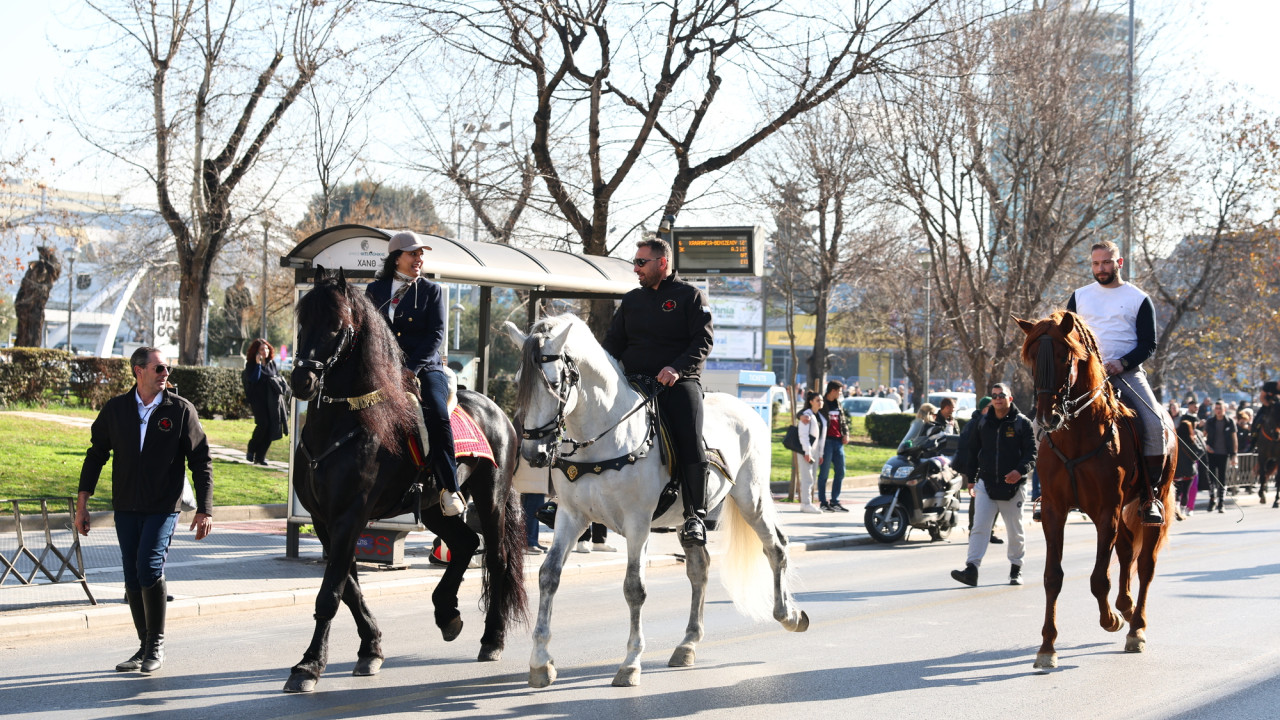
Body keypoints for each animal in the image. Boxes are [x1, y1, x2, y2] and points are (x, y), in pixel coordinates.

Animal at [288, 266, 527, 691]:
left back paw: (492, 638)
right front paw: (371, 649)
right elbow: (348, 588)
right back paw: (447, 613)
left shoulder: (350, 515)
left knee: (496, 558)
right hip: (434, 506)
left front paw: (309, 665)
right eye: (303, 322)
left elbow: (330, 593)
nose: (302, 381)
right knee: (465, 544)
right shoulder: (323, 520)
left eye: (337, 326)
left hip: (491, 497)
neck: (344, 423)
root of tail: (498, 410)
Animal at [504, 312, 803, 681]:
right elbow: (549, 576)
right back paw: (688, 643)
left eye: (555, 383)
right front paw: (540, 660)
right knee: (699, 569)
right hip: (688, 518)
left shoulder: (638, 522)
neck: (604, 435)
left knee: (776, 548)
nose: (534, 453)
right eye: (520, 381)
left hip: (752, 499)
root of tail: (746, 409)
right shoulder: (571, 517)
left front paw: (631, 662)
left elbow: (634, 587)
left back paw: (788, 615)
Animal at [1013, 311, 1172, 671]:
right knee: (1126, 551)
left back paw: (1135, 627)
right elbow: (1052, 577)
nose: (1047, 416)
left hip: (1152, 503)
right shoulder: (1055, 511)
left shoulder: (1105, 512)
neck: (1078, 433)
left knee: (1145, 565)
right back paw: (1126, 606)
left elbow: (1099, 578)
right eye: (1032, 358)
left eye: (1064, 357)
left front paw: (1111, 620)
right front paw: (1047, 647)